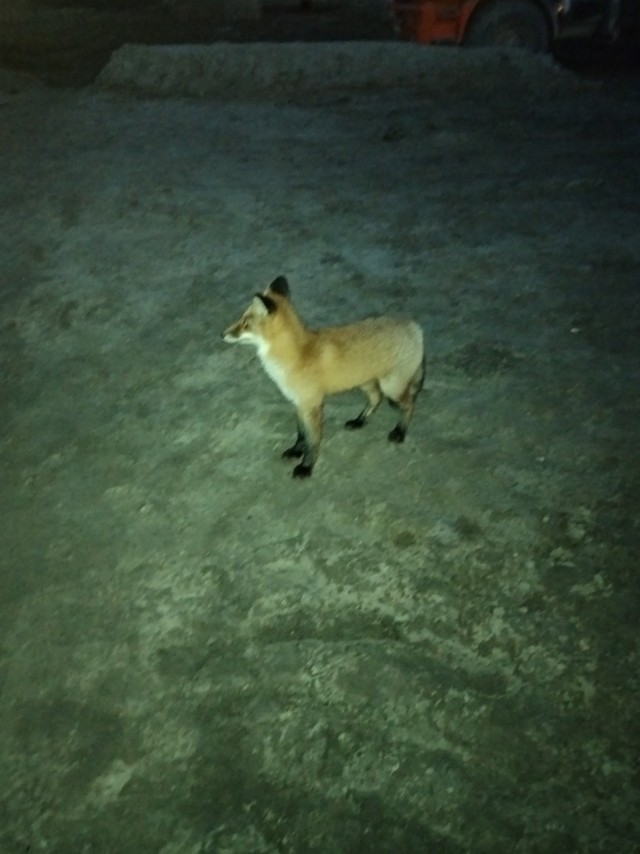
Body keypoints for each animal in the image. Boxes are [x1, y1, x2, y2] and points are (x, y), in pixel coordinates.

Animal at [222, 275, 425, 478]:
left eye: (245, 324)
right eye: (241, 319)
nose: (222, 334)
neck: (296, 356)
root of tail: (414, 326)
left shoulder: (312, 405)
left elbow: (312, 441)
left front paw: (306, 467)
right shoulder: (299, 404)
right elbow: (301, 434)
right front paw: (296, 451)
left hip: (392, 387)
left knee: (409, 405)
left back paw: (400, 432)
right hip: (365, 382)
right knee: (376, 399)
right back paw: (359, 421)